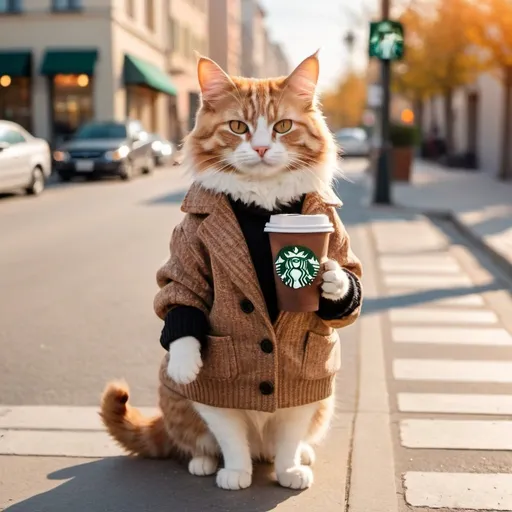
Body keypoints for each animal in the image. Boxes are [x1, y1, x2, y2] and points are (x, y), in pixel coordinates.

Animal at [101, 51, 364, 492]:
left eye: (282, 127)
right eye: (238, 127)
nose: (259, 147)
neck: (263, 205)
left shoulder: (301, 396)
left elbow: (290, 433)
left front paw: (289, 469)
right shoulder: (186, 260)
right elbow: (181, 301)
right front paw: (236, 472)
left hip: (323, 400)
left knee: (290, 440)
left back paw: (295, 457)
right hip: (177, 401)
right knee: (194, 441)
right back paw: (206, 462)